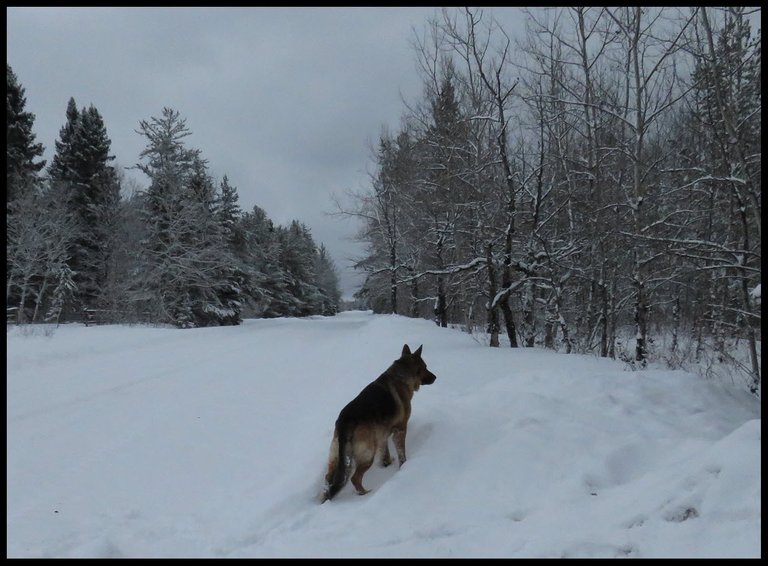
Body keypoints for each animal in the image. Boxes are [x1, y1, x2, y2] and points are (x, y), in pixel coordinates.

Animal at [320, 344, 438, 504]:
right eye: (425, 367)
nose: (436, 377)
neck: (400, 376)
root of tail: (345, 420)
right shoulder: (400, 430)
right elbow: (402, 453)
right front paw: (403, 466)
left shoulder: (383, 434)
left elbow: (385, 452)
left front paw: (387, 463)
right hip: (367, 454)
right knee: (355, 478)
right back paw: (365, 493)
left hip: (337, 457)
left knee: (328, 479)